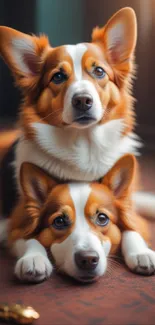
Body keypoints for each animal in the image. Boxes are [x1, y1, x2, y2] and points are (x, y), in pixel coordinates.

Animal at [1, 153, 154, 282]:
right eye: (59, 221)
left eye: (102, 218)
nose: (88, 260)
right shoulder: (16, 227)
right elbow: (28, 238)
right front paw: (34, 258)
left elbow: (132, 230)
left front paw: (141, 253)